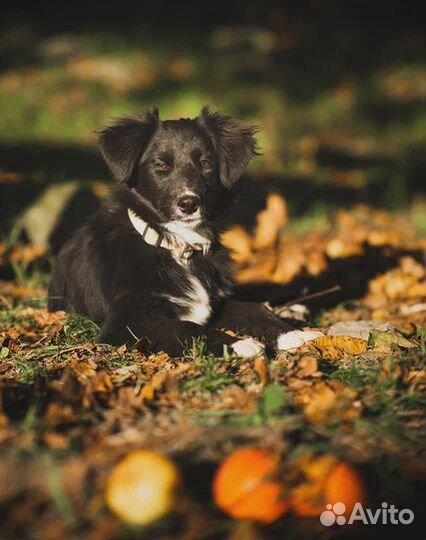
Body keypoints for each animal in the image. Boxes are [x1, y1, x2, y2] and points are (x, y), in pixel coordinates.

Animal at [47, 107, 292, 356]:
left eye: (206, 162)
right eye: (160, 165)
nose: (189, 203)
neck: (177, 247)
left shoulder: (216, 303)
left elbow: (251, 309)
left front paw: (290, 332)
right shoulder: (124, 324)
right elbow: (187, 328)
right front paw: (238, 344)